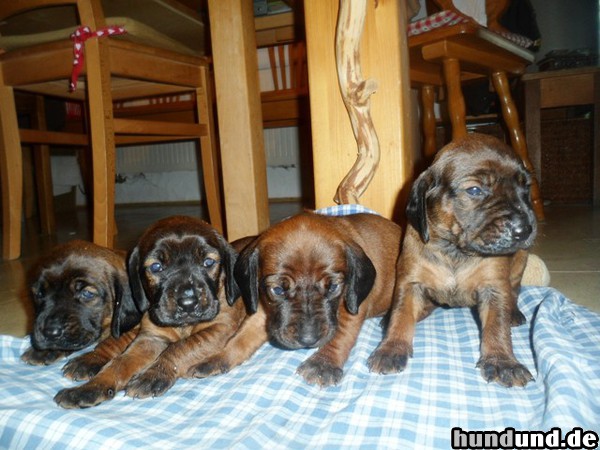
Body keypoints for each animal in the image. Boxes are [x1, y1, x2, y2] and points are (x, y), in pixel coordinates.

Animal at [20, 239, 143, 380]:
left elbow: (113, 342)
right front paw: (47, 350)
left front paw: (91, 359)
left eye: (87, 293)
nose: (50, 333)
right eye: (40, 294)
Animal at [53, 216, 244, 410]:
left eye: (208, 262)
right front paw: (91, 388)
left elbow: (180, 348)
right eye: (156, 267)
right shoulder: (150, 337)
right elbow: (120, 363)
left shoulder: (218, 329)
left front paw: (152, 375)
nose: (188, 304)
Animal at [190, 213, 400, 388]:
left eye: (333, 287)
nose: (308, 340)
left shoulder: (353, 307)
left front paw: (323, 363)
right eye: (278, 289)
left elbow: (341, 334)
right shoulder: (262, 311)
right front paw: (218, 358)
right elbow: (240, 338)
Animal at [368, 133, 536, 386]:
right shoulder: (410, 282)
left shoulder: (494, 287)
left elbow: (497, 324)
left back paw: (514, 313)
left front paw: (503, 361)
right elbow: (401, 314)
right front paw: (391, 348)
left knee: (514, 290)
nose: (525, 230)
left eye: (526, 187)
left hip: (520, 263)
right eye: (475, 190)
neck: (456, 251)